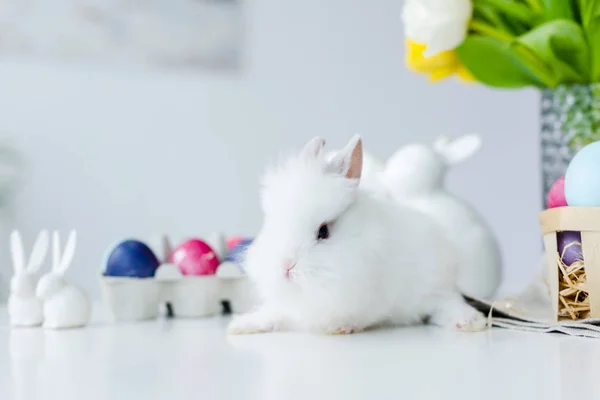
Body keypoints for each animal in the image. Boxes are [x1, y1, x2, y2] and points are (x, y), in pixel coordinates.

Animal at [227, 135, 486, 334]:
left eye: (323, 231)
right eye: (271, 224)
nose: (286, 266)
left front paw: (341, 327)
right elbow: (273, 314)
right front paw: (240, 326)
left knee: (447, 303)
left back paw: (470, 322)